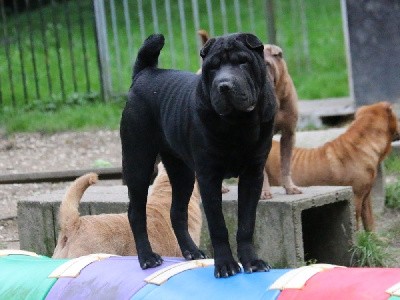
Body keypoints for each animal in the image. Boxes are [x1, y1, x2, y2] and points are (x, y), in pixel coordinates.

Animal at [120, 33, 276, 278]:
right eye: (212, 67)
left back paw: (191, 251)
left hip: (182, 172)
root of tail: (144, 73)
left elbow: (246, 223)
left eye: (243, 62)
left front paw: (252, 262)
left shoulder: (253, 175)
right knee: (136, 212)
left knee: (177, 211)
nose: (224, 85)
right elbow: (218, 225)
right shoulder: (208, 177)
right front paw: (225, 265)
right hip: (138, 162)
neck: (238, 123)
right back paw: (147, 258)